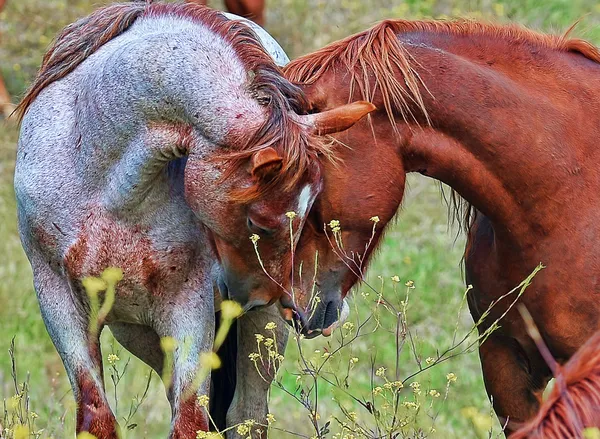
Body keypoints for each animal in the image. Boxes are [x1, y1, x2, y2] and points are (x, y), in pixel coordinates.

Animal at [14, 1, 372, 438]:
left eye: (308, 217)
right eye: (258, 223)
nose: (260, 299)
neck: (102, 186)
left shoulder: (188, 306)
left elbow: (189, 421)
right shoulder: (58, 298)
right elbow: (97, 416)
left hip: (262, 332)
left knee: (246, 416)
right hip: (141, 332)